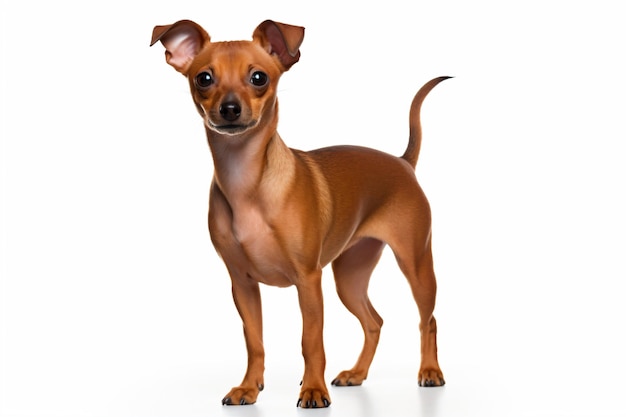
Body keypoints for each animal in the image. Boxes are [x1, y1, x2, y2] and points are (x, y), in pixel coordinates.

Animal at [149, 19, 446, 406]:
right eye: (204, 78)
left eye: (258, 78)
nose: (229, 108)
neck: (246, 183)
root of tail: (402, 162)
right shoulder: (242, 285)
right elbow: (254, 341)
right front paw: (249, 387)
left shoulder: (308, 281)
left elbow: (311, 341)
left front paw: (313, 390)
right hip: (349, 277)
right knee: (374, 321)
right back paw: (357, 374)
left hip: (415, 265)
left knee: (428, 320)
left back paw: (430, 371)